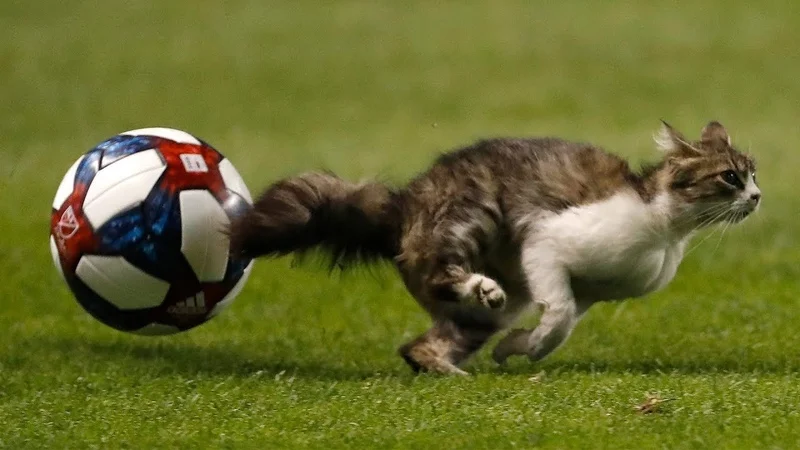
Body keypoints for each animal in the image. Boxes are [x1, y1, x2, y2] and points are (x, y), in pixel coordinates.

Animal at [228, 120, 760, 375]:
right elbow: (559, 316)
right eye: (730, 177)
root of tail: (403, 204)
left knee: (416, 348)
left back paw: (452, 371)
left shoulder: (592, 291)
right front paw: (531, 345)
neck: (664, 229)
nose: (758, 197)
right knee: (442, 273)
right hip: (474, 211)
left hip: (496, 303)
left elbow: (563, 326)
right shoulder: (547, 243)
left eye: (754, 173)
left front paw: (516, 348)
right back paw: (479, 288)